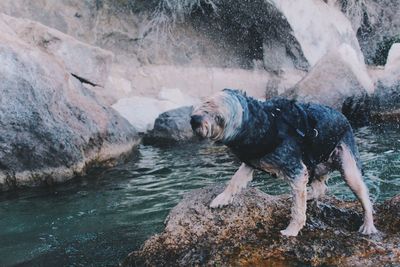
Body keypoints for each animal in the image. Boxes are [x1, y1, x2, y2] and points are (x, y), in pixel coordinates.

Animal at [191, 89, 378, 237]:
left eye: (219, 118)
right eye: (206, 102)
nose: (194, 120)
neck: (265, 123)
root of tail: (343, 116)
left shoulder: (295, 168)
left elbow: (297, 210)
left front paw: (291, 230)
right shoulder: (251, 161)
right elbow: (235, 179)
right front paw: (221, 198)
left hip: (347, 162)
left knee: (362, 194)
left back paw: (368, 225)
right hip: (317, 164)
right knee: (320, 188)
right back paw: (310, 195)